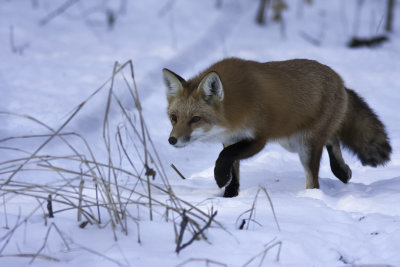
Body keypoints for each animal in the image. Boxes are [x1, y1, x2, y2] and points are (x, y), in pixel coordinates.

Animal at [162, 58, 390, 197]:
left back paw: (312, 196)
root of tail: (340, 80)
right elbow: (233, 169)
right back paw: (343, 171)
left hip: (305, 146)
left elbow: (224, 157)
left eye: (195, 119)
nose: (172, 140)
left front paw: (220, 177)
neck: (235, 109)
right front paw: (230, 195)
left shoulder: (258, 138)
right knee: (332, 138)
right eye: (174, 118)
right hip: (291, 142)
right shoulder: (230, 138)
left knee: (314, 179)